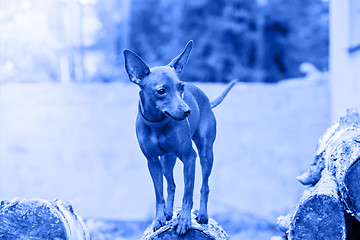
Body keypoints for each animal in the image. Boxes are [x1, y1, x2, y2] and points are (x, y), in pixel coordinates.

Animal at [124, 40, 239, 234]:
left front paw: (185, 221)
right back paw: (168, 213)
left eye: (181, 87)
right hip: (166, 161)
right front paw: (159, 218)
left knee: (204, 186)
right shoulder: (152, 161)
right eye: (161, 91)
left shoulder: (189, 157)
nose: (187, 111)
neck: (158, 124)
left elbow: (188, 194)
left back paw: (202, 215)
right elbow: (159, 194)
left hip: (205, 154)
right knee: (171, 185)